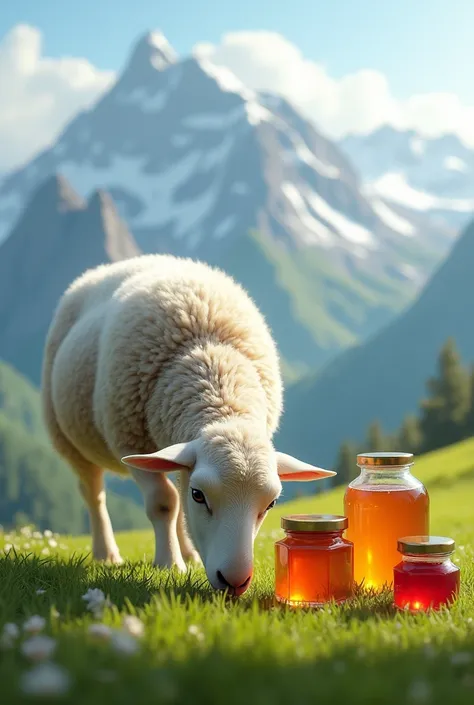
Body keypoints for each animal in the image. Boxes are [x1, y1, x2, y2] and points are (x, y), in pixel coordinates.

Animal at [42, 254, 336, 592]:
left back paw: (188, 552)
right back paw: (107, 554)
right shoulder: (128, 442)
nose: (235, 581)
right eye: (200, 495)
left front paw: (180, 557)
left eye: (272, 504)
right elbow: (164, 503)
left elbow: (177, 502)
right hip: (69, 440)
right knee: (94, 494)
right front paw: (168, 564)